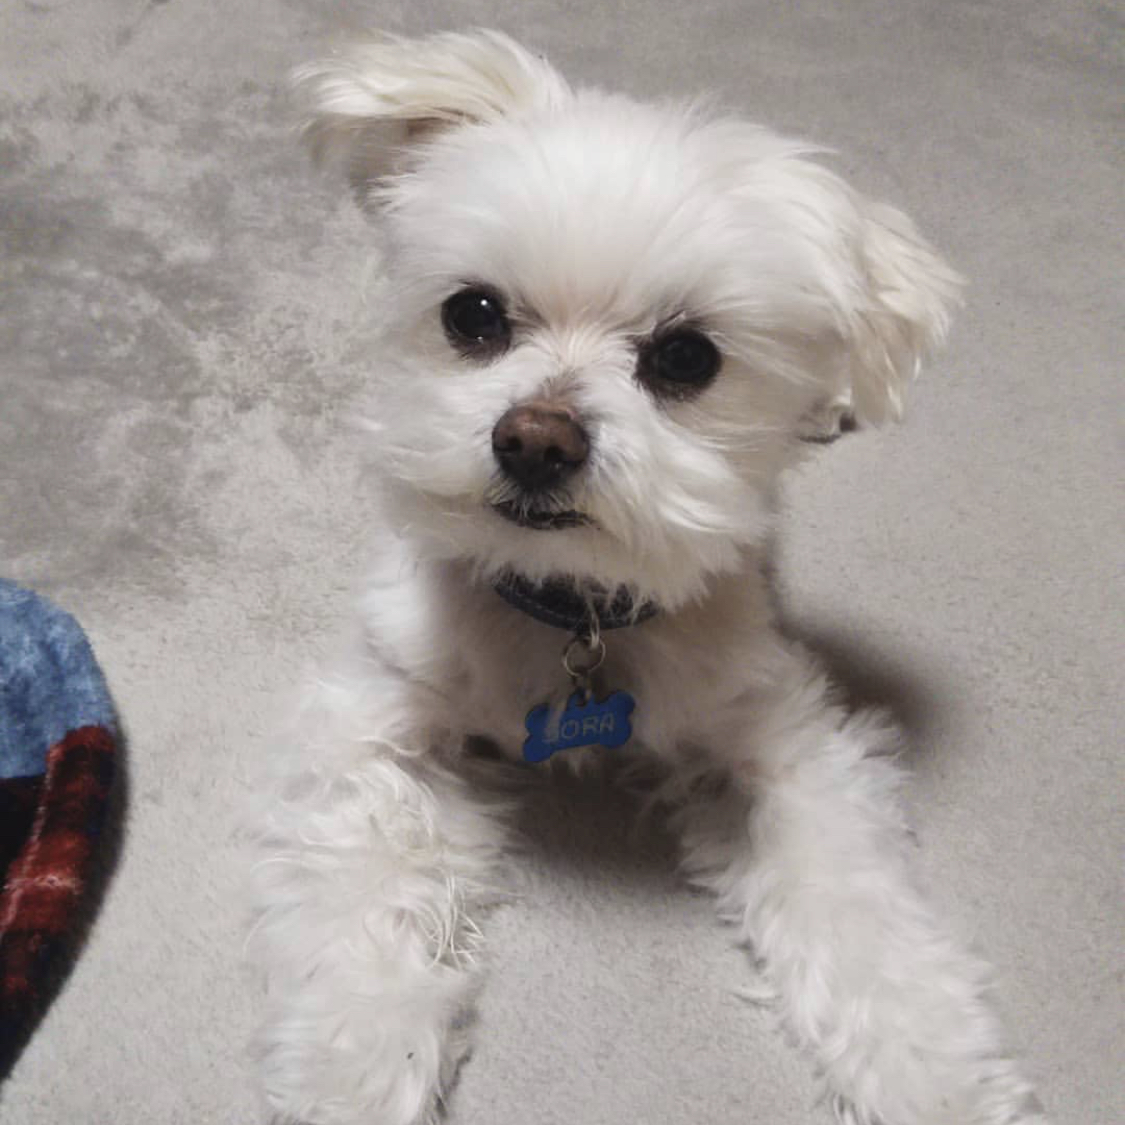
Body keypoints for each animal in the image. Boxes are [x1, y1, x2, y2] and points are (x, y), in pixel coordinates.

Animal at [250, 28, 1048, 1125]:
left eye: (685, 357)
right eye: (473, 314)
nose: (534, 441)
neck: (567, 605)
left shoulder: (779, 733)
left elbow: (859, 911)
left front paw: (935, 1072)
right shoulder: (376, 716)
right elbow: (365, 896)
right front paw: (357, 1063)